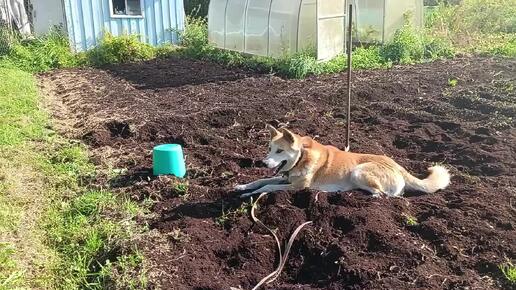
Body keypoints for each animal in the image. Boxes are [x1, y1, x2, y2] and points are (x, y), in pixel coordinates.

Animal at [236, 124, 450, 197]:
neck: (302, 157)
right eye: (269, 149)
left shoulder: (297, 186)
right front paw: (243, 187)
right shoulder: (285, 178)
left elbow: (267, 187)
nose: (264, 163)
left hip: (358, 171)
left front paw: (250, 194)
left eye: (280, 151)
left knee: (384, 194)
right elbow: (261, 180)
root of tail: (398, 166)